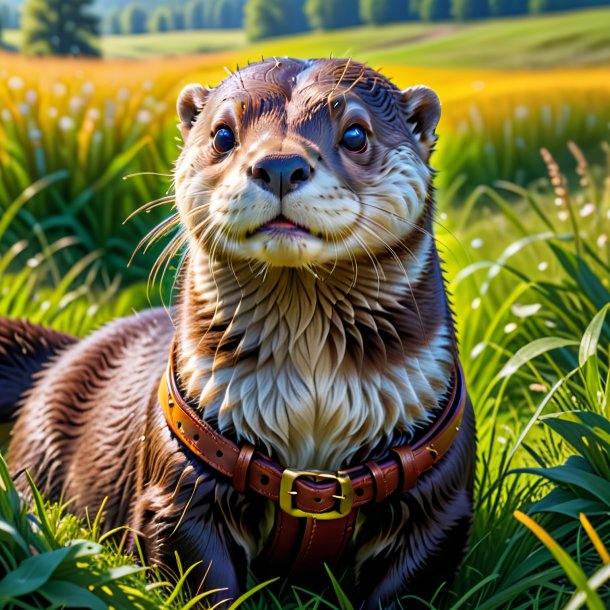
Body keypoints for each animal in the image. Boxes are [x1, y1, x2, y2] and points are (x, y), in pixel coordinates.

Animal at [1, 58, 476, 608]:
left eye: (356, 133)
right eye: (223, 134)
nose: (279, 165)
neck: (313, 413)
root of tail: (66, 351)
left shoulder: (436, 499)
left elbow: (406, 585)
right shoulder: (181, 485)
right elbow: (200, 577)